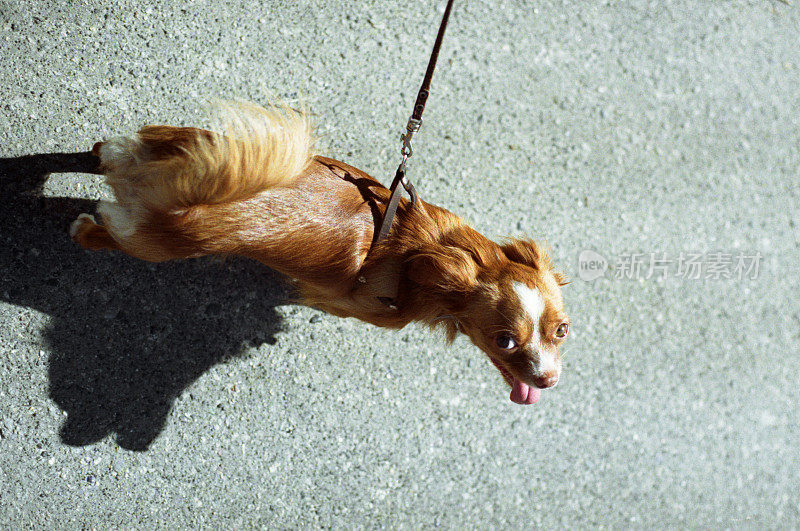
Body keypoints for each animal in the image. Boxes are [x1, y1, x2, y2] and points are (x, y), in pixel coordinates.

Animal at [70, 102, 568, 406]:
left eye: (562, 330)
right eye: (504, 340)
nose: (550, 380)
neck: (424, 251)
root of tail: (184, 192)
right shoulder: (350, 306)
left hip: (160, 144)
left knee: (107, 151)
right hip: (149, 243)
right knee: (106, 233)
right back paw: (84, 231)